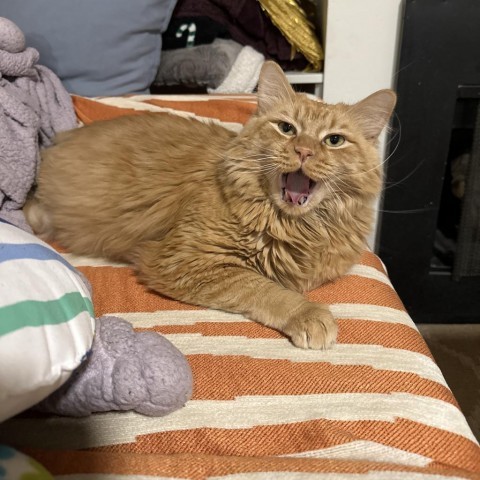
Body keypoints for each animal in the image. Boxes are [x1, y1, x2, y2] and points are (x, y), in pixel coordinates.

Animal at [24, 62, 396, 350]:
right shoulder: (185, 261)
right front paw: (307, 314)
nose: (303, 151)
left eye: (334, 140)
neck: (295, 226)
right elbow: (263, 288)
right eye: (286, 128)